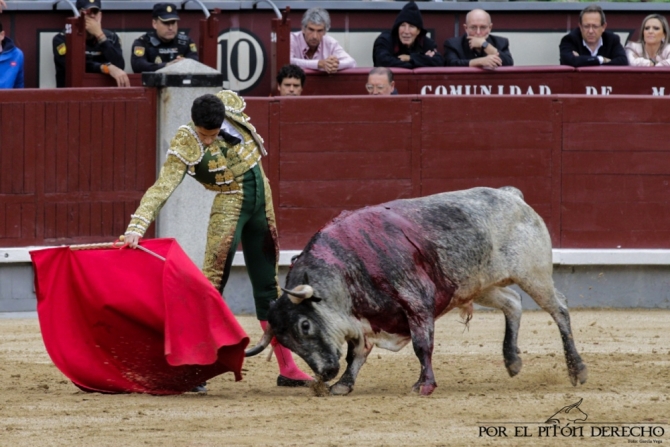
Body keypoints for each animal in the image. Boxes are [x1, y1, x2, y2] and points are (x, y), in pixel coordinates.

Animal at [247, 187, 588, 398]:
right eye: (286, 341)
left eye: (305, 325)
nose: (326, 371)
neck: (348, 269)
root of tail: (511, 196)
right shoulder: (363, 321)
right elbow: (357, 353)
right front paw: (343, 385)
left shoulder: (416, 303)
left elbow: (421, 346)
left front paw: (424, 385)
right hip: (478, 286)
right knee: (513, 303)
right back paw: (512, 361)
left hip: (534, 274)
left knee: (559, 309)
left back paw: (577, 370)